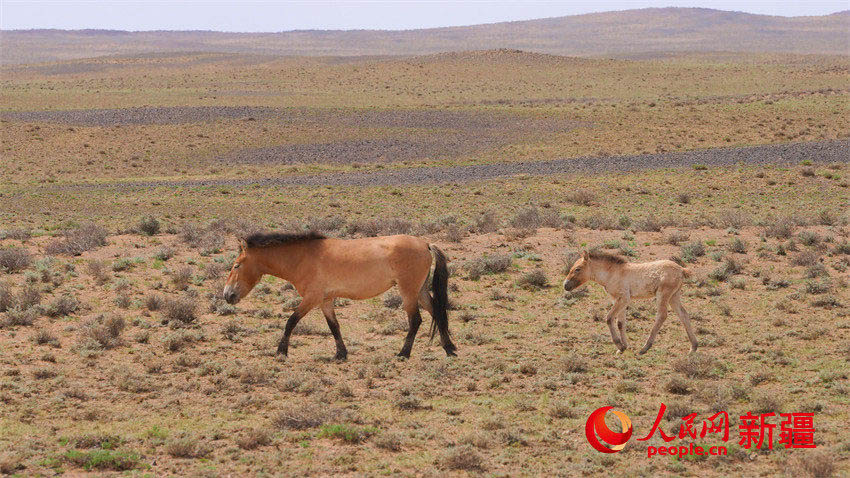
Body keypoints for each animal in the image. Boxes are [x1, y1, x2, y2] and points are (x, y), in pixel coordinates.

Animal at [222, 232, 454, 358]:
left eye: (236, 265)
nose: (227, 295)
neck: (302, 258)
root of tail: (426, 244)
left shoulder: (311, 298)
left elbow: (291, 321)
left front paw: (281, 351)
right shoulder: (325, 300)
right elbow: (334, 326)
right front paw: (341, 354)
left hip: (408, 291)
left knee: (416, 320)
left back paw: (404, 353)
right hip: (420, 291)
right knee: (437, 313)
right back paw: (449, 348)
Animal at [564, 250, 696, 354]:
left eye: (577, 269)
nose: (565, 285)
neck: (612, 273)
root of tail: (681, 269)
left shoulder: (624, 298)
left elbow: (609, 318)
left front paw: (619, 345)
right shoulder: (617, 300)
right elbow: (620, 323)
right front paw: (623, 347)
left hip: (663, 295)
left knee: (662, 316)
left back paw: (645, 348)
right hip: (674, 296)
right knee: (684, 315)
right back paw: (693, 347)